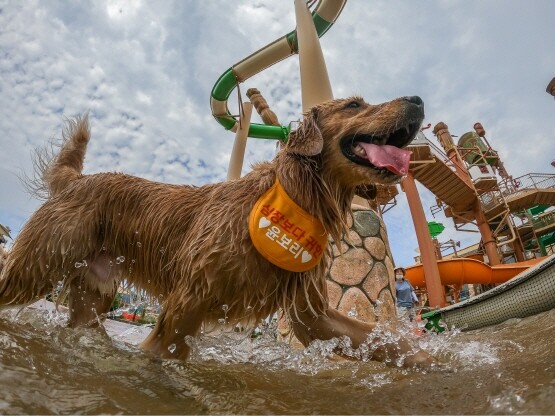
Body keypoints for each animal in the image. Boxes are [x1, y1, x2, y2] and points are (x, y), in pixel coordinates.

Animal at [0, 96, 434, 368]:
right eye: (354, 105)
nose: (417, 99)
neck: (297, 194)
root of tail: (76, 181)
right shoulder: (189, 300)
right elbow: (165, 352)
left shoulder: (311, 311)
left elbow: (379, 339)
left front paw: (434, 362)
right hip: (37, 267)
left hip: (94, 292)